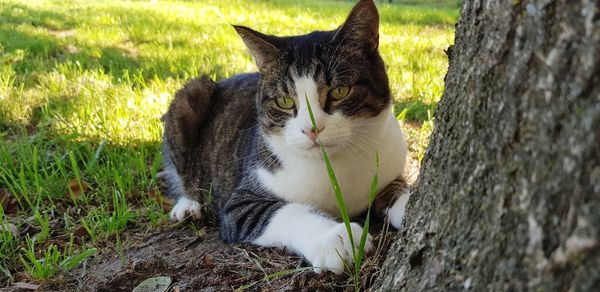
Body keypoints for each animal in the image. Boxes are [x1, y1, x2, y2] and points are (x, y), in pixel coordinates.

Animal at [159, 0, 410, 274]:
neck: (336, 164)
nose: (312, 128)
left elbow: (396, 188)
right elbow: (284, 212)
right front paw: (334, 239)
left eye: (340, 91)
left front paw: (408, 203)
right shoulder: (239, 204)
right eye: (284, 101)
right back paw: (187, 205)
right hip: (191, 97)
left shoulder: (389, 165)